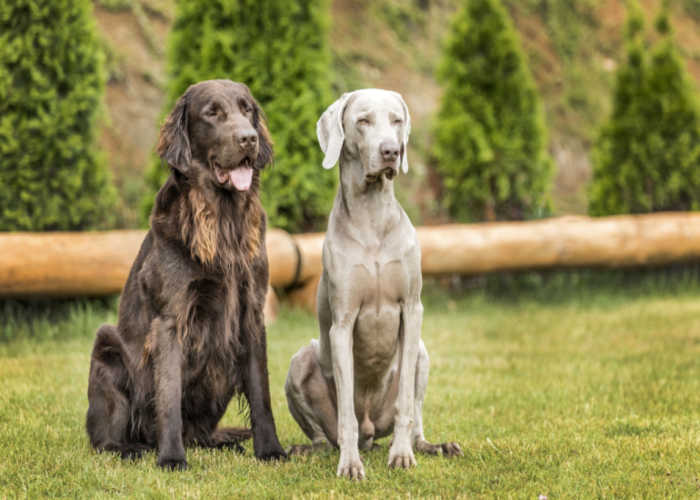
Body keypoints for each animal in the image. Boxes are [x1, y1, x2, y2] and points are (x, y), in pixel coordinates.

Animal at [87, 78, 288, 468]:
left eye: (247, 110)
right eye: (212, 113)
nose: (248, 138)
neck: (223, 221)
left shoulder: (252, 312)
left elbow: (262, 394)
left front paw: (271, 450)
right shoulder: (171, 319)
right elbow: (168, 395)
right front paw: (171, 458)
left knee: (201, 433)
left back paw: (218, 441)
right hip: (106, 345)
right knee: (103, 438)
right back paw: (130, 448)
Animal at [284, 88, 460, 478]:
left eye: (397, 120)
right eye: (363, 120)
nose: (391, 151)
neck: (372, 217)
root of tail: (371, 432)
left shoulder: (412, 310)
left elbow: (406, 405)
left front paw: (402, 456)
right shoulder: (342, 322)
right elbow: (347, 412)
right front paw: (350, 465)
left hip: (422, 354)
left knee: (414, 416)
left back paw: (432, 446)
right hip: (300, 361)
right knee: (328, 434)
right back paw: (310, 449)